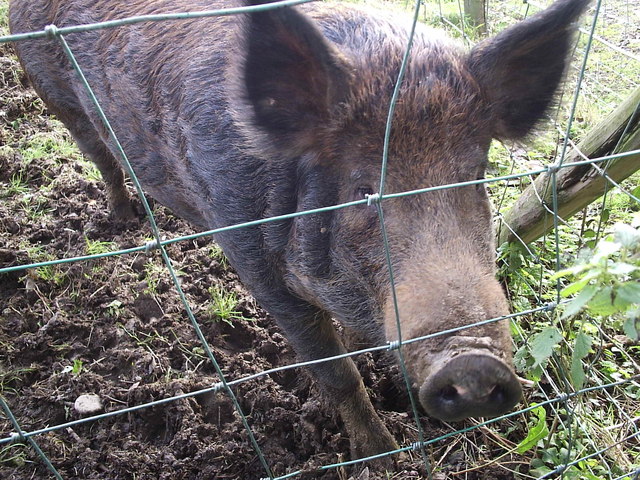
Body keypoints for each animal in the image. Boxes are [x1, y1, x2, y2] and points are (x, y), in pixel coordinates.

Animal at [8, 0, 592, 464]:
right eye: (363, 190)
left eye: (475, 177)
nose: (474, 362)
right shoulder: (251, 258)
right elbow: (336, 373)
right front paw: (382, 457)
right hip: (54, 94)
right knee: (100, 155)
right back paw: (125, 219)